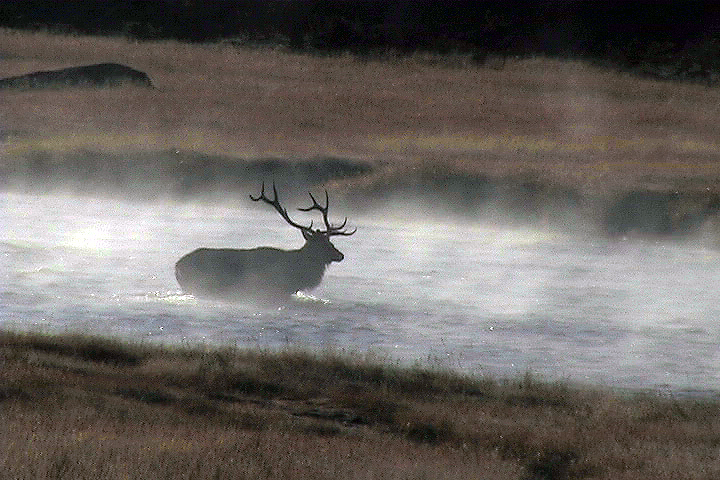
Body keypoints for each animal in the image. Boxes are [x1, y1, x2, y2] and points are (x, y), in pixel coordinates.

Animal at [174, 182, 354, 302]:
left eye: (330, 241)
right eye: (322, 244)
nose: (341, 255)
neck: (296, 273)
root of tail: (177, 266)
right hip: (200, 284)